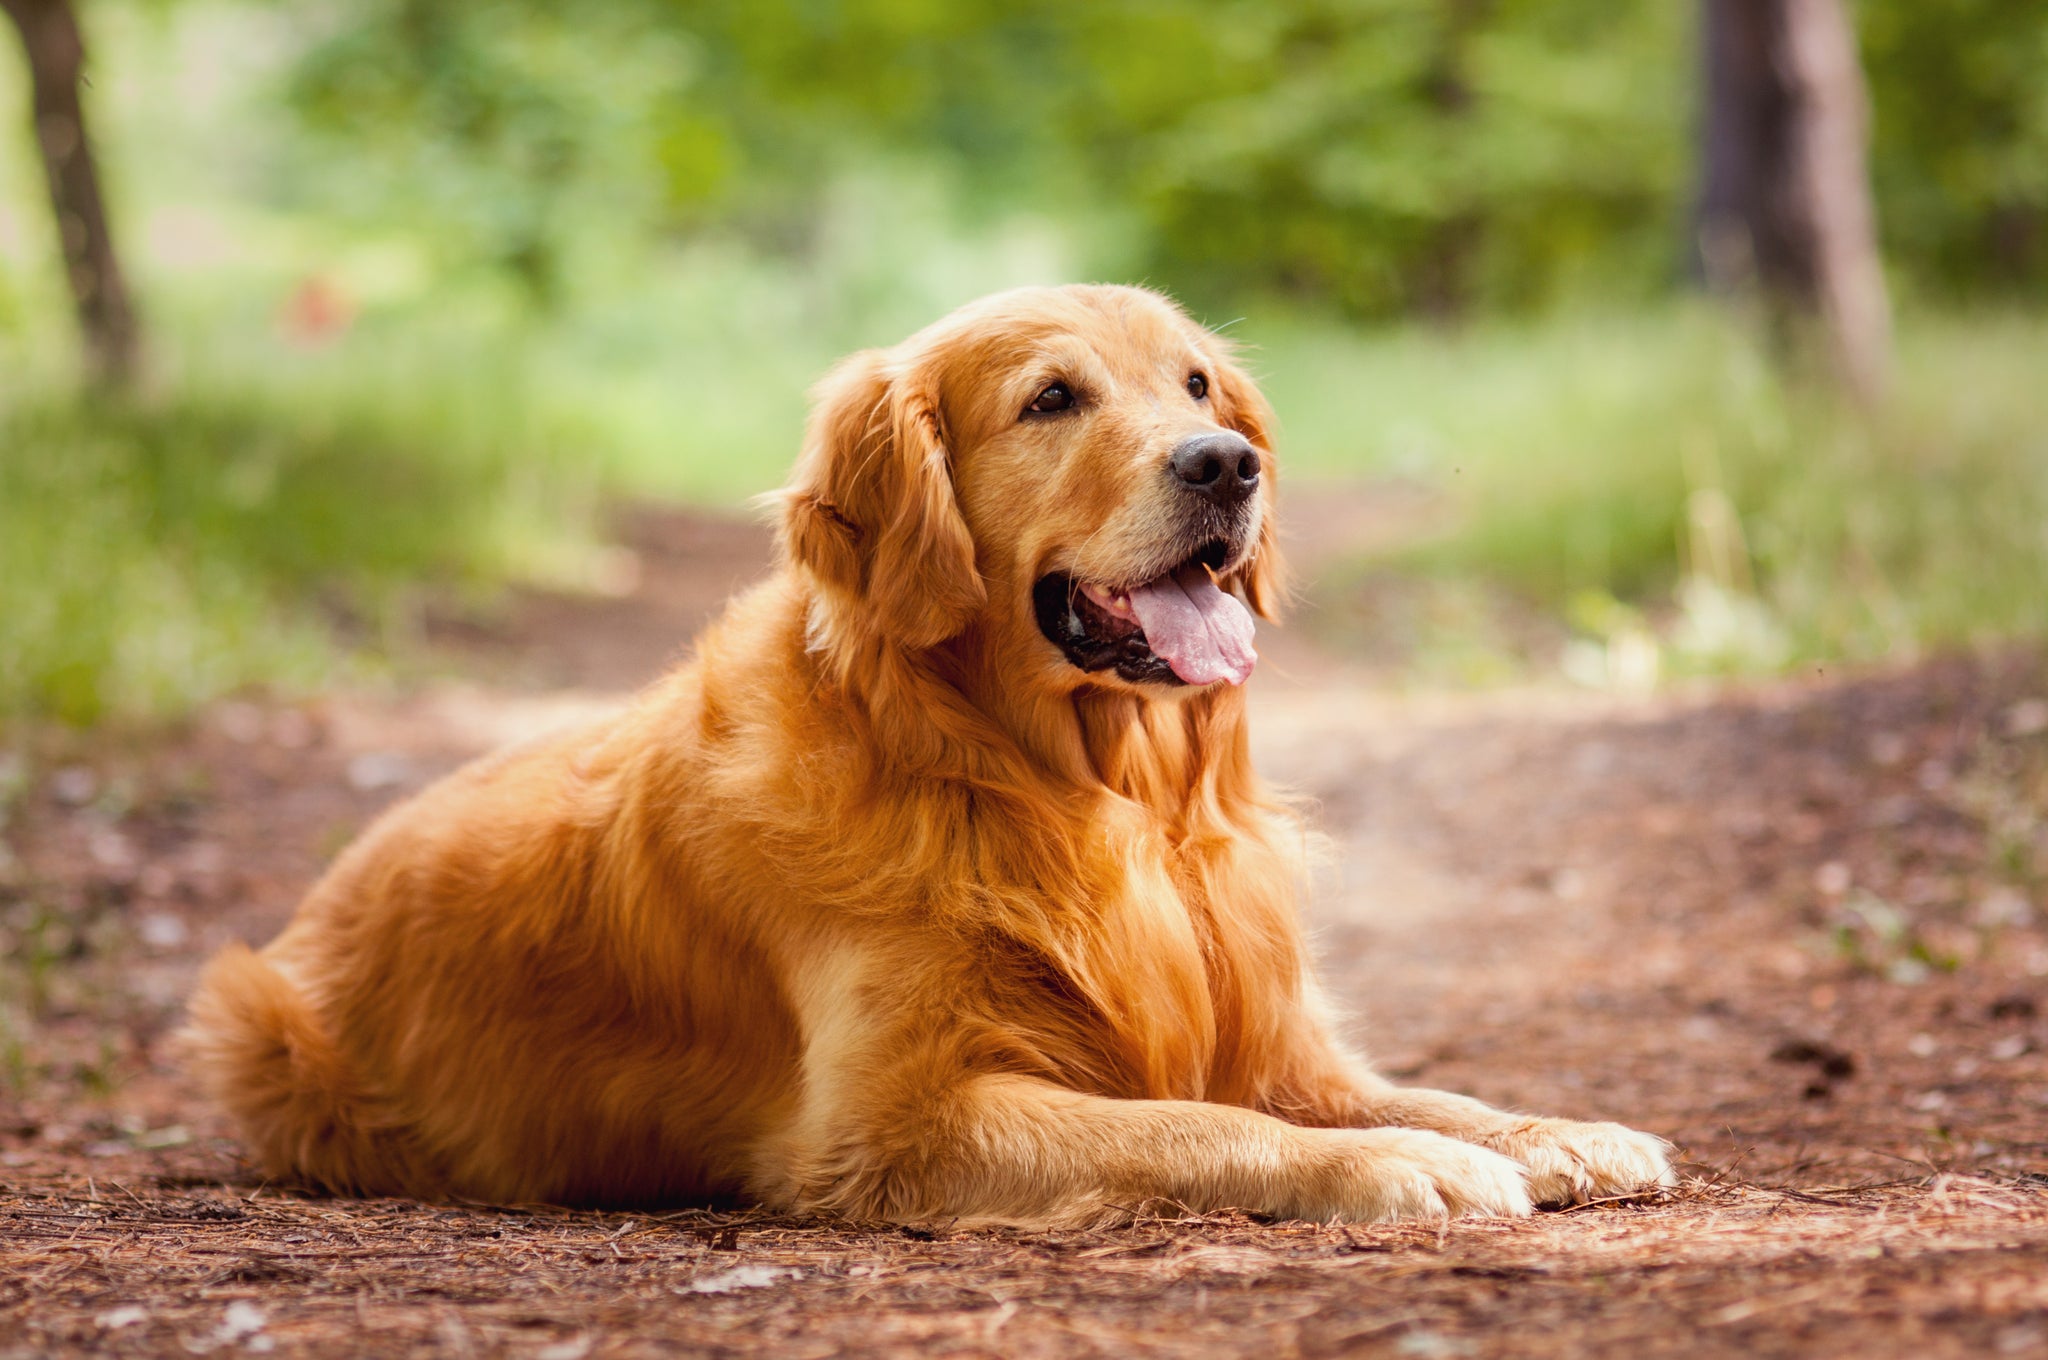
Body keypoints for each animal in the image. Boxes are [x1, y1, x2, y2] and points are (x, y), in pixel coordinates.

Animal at [184, 284, 1671, 1220]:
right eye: (1052, 399)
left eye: (1196, 382)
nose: (1225, 462)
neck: (1075, 791)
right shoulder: (897, 1120)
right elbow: (1199, 1124)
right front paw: (1392, 1168)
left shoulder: (1276, 1033)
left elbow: (1417, 1089)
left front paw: (1552, 1129)